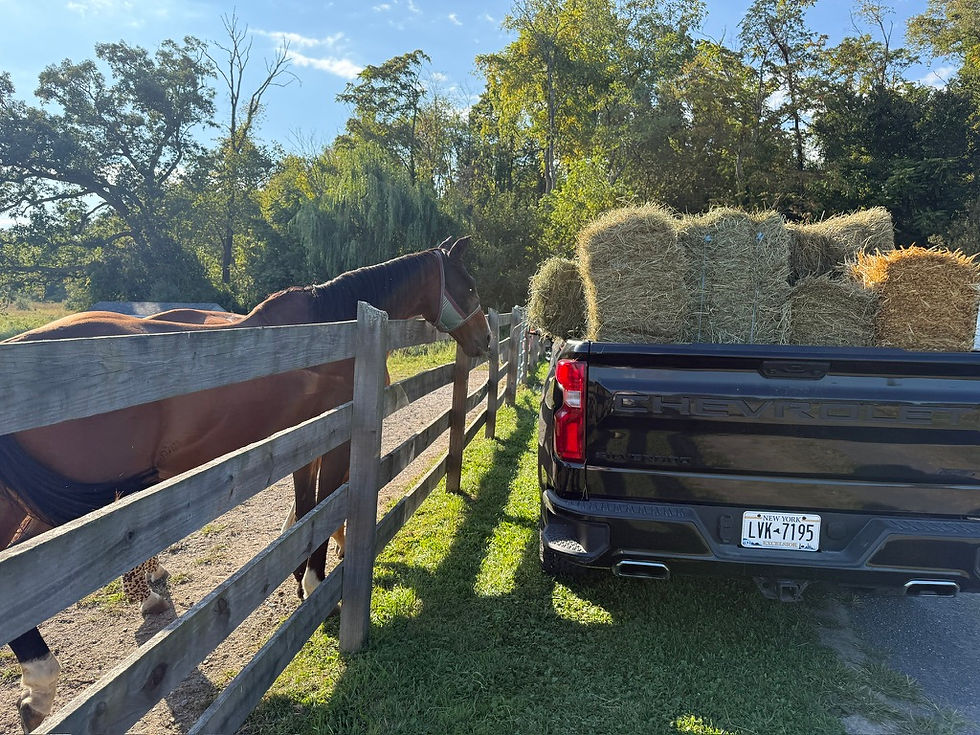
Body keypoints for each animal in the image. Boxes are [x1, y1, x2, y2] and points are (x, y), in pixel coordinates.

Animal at [0, 236, 490, 732]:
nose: (485, 339)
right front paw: (318, 588)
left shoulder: (307, 439)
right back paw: (42, 681)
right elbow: (323, 508)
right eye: (468, 286)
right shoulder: (336, 438)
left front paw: (299, 578)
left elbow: (305, 509)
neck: (332, 328)